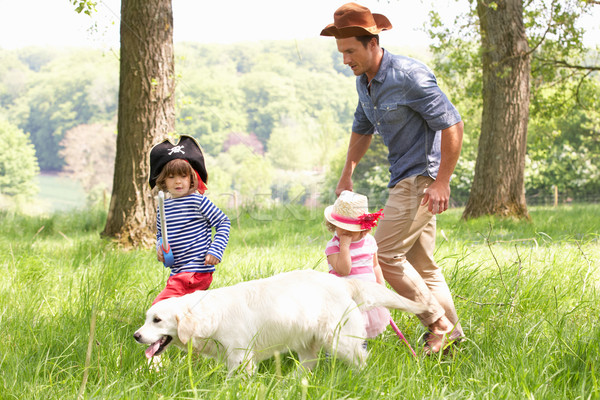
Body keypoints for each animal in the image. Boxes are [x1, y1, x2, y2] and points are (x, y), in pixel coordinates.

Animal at [134, 268, 424, 376]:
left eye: (157, 320)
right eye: (147, 319)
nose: (136, 336)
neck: (211, 315)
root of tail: (342, 282)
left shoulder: (241, 357)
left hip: (340, 340)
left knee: (361, 360)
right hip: (307, 340)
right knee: (308, 364)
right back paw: (292, 381)